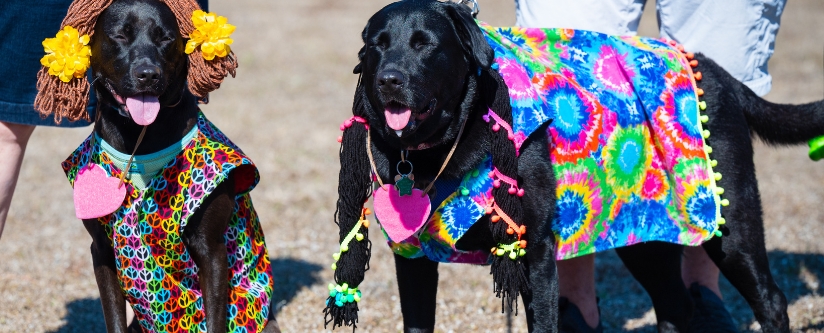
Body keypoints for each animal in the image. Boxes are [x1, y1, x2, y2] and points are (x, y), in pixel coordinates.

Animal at [80, 0, 280, 332]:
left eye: (165, 38)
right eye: (120, 35)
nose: (148, 74)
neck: (140, 138)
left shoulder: (211, 251)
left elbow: (214, 319)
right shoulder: (101, 250)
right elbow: (115, 319)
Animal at [332, 0, 824, 332]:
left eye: (425, 45)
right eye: (375, 46)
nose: (388, 80)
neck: (441, 148)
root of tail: (716, 72)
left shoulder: (535, 252)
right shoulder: (412, 258)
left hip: (729, 222)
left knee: (771, 301)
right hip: (643, 232)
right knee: (674, 305)